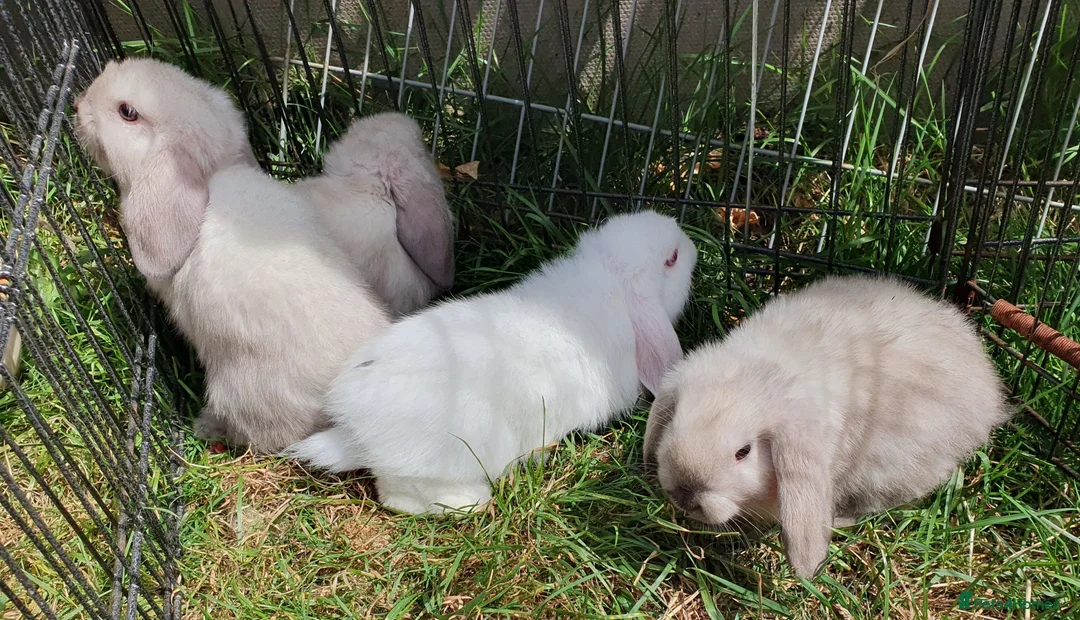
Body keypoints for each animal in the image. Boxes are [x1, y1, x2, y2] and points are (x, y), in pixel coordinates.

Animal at [285, 211, 698, 514]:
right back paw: (473, 501)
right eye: (672, 259)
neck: (613, 285)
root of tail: (353, 432)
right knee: (397, 496)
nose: (693, 244)